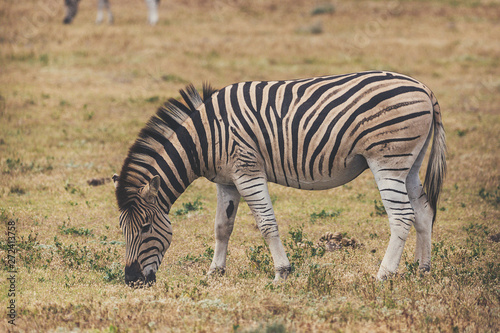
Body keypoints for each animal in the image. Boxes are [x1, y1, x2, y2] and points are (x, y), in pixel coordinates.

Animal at [112, 71, 446, 284]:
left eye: (145, 227)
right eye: (122, 229)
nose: (131, 280)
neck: (204, 138)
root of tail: (424, 88)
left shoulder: (247, 171)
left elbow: (266, 224)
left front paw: (281, 273)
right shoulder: (226, 180)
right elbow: (222, 227)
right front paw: (215, 272)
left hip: (387, 160)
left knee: (401, 216)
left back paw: (384, 275)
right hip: (409, 164)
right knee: (422, 212)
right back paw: (423, 270)